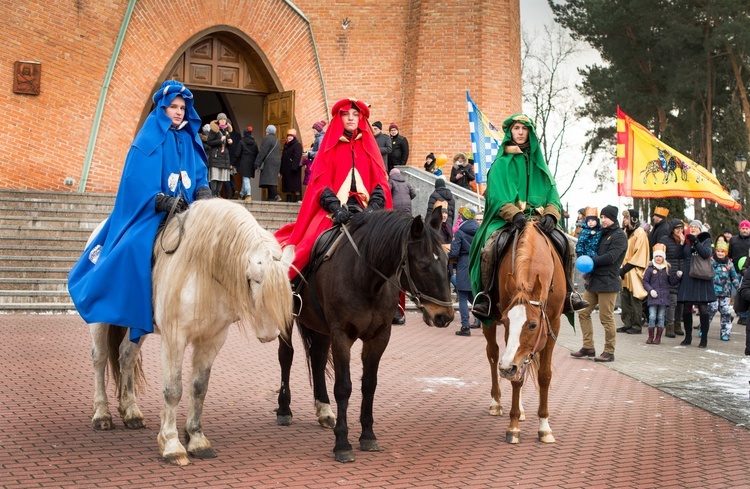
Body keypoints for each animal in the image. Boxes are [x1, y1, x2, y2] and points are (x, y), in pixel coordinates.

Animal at [89, 198, 296, 466]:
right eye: (253, 279)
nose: (270, 333)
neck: (201, 273)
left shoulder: (212, 340)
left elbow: (199, 387)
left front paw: (197, 439)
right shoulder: (174, 339)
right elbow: (173, 390)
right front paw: (171, 444)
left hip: (137, 326)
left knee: (126, 357)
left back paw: (131, 412)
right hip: (99, 321)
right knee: (100, 359)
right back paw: (101, 414)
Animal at [274, 209, 452, 462]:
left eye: (447, 262)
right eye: (423, 264)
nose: (444, 316)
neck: (366, 280)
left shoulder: (379, 337)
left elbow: (369, 384)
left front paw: (367, 434)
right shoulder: (341, 336)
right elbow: (343, 387)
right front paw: (342, 443)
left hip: (321, 327)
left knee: (318, 359)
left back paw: (324, 410)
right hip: (286, 317)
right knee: (286, 357)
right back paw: (284, 409)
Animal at [484, 220, 568, 442]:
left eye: (533, 325)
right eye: (506, 321)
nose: (506, 368)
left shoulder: (553, 325)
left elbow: (544, 375)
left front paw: (544, 426)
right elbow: (516, 378)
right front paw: (513, 427)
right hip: (488, 323)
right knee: (493, 355)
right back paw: (497, 403)